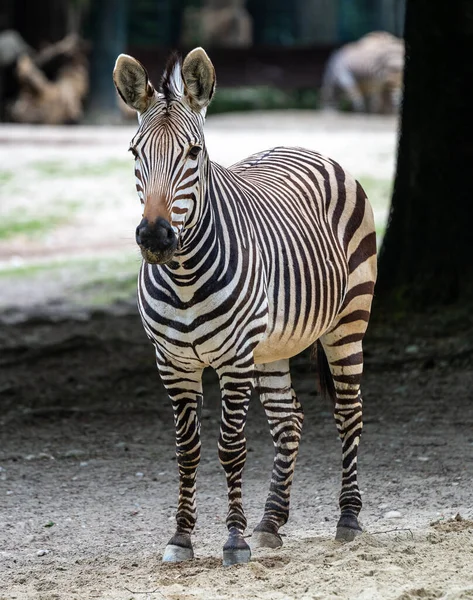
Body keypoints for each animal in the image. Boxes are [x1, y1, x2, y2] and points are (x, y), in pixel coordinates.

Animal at [112, 48, 374, 568]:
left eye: (193, 153)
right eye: (134, 152)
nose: (154, 237)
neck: (184, 276)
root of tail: (309, 149)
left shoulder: (234, 360)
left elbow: (230, 446)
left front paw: (233, 540)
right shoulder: (172, 362)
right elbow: (187, 450)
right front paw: (181, 538)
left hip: (348, 322)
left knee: (349, 412)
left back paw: (349, 518)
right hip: (272, 346)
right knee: (289, 420)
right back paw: (271, 523)